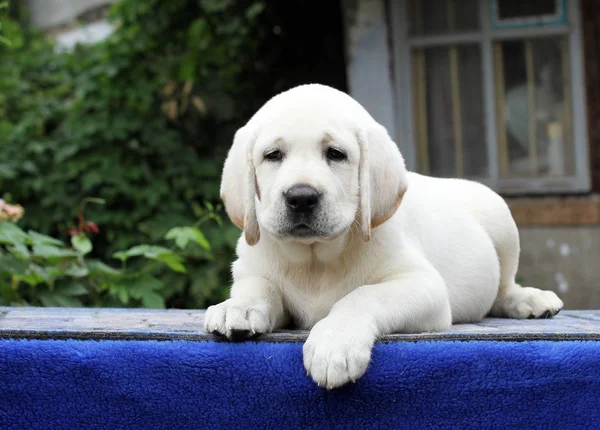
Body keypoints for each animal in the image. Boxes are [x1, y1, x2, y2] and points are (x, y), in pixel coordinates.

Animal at [205, 84, 564, 390]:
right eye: (273, 155)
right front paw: (237, 307)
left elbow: (363, 295)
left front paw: (335, 343)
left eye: (336, 154)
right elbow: (258, 287)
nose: (301, 197)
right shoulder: (253, 270)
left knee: (504, 286)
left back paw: (530, 300)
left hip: (498, 214)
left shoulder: (423, 285)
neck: (315, 258)